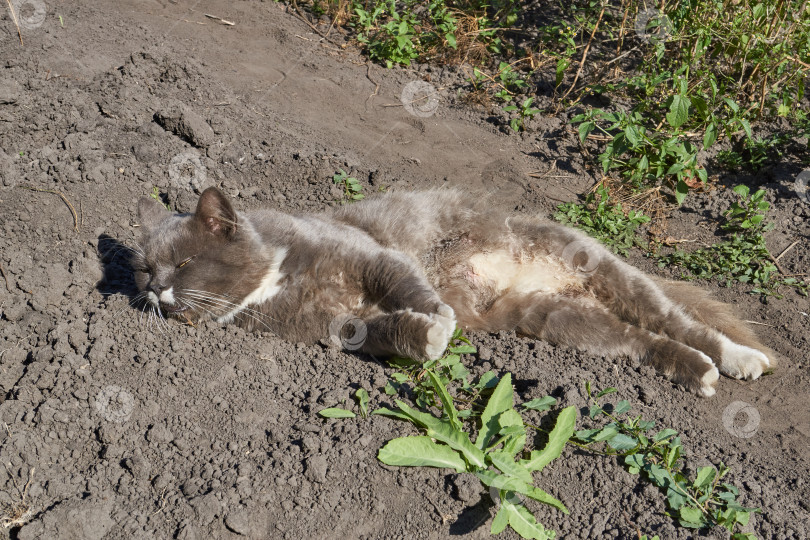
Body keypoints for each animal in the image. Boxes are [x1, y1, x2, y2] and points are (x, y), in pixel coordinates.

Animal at [134, 187, 776, 396]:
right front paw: (426, 339)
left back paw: (739, 359)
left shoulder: (370, 253)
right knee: (639, 341)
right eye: (143, 270)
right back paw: (696, 371)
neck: (273, 275)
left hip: (600, 266)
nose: (156, 293)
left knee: (675, 319)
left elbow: (402, 281)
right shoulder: (327, 328)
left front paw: (438, 316)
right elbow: (379, 331)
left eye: (184, 262)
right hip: (556, 318)